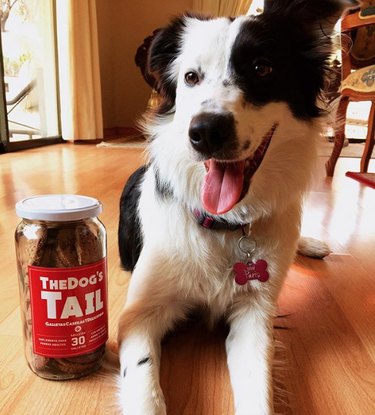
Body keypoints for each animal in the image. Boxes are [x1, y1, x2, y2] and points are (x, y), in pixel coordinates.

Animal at [117, 1, 356, 414]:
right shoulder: (139, 315)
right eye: (191, 77)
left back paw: (311, 243)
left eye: (262, 68)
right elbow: (146, 388)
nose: (205, 132)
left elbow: (258, 391)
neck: (227, 225)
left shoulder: (255, 314)